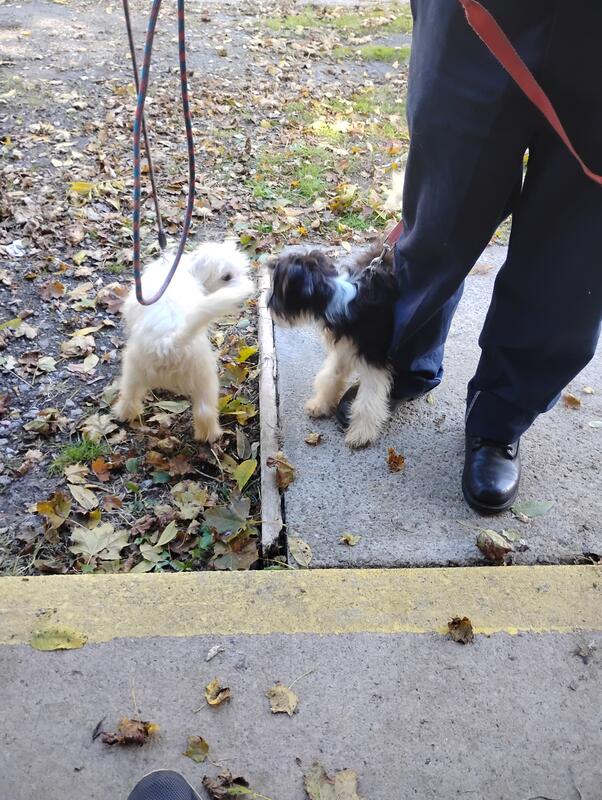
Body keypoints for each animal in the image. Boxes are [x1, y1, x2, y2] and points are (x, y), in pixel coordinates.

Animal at [268, 242, 400, 448]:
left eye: (279, 290)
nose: (269, 308)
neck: (339, 300)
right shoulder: (343, 349)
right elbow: (330, 376)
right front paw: (321, 404)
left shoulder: (374, 361)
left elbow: (368, 400)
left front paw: (361, 433)